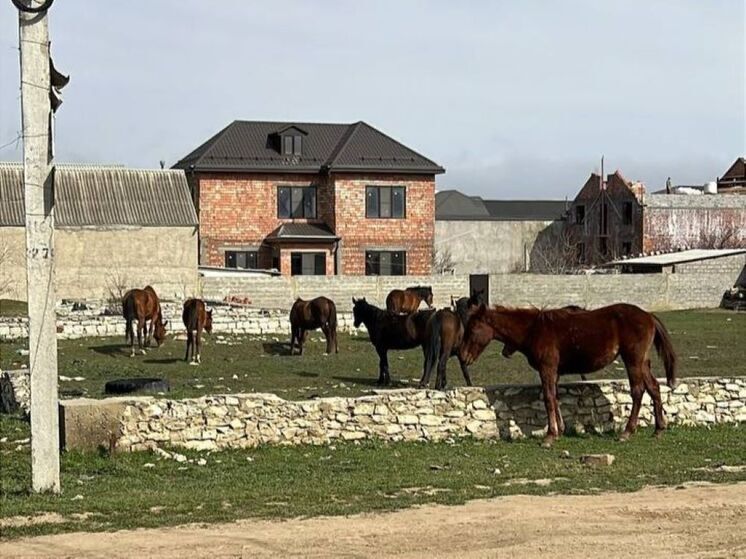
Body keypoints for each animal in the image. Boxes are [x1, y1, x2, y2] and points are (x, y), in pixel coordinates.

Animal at [456, 304, 676, 448]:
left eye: (473, 328)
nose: (463, 355)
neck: (533, 330)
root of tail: (648, 316)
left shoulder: (547, 368)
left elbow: (548, 398)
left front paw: (549, 436)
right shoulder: (554, 372)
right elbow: (555, 397)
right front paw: (559, 430)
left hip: (633, 360)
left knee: (638, 391)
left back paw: (627, 432)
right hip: (642, 362)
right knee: (654, 388)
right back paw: (659, 429)